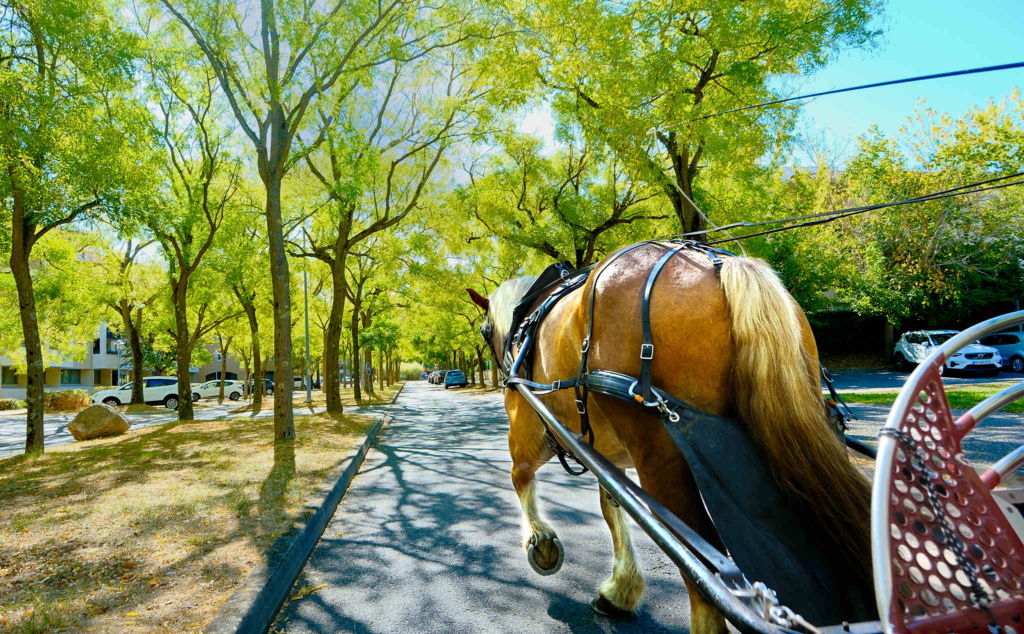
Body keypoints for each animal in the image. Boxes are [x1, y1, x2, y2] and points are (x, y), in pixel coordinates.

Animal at [467, 243, 873, 633]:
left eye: (485, 332)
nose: (496, 364)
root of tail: (716, 264)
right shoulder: (606, 455)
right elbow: (611, 507)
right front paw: (620, 590)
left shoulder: (527, 429)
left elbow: (519, 477)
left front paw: (540, 541)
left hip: (659, 458)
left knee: (705, 570)